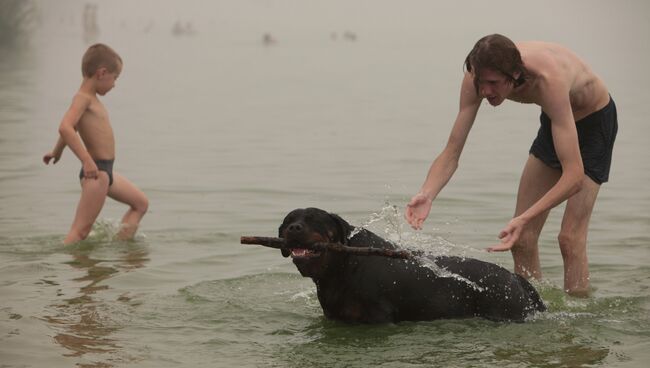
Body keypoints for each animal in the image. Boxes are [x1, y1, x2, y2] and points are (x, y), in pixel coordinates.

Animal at [276, 208, 544, 324]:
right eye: (288, 221)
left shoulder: (378, 317)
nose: (294, 228)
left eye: (314, 220)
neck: (339, 268)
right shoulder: (333, 315)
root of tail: (515, 278)